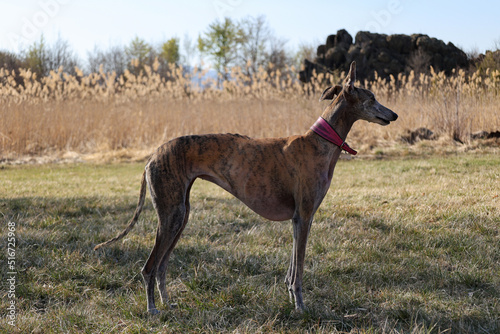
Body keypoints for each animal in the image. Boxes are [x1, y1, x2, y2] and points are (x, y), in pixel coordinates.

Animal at [94, 62, 398, 314]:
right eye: (372, 98)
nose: (394, 115)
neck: (320, 142)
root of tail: (152, 157)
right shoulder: (305, 216)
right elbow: (299, 270)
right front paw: (301, 308)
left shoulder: (298, 219)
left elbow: (291, 269)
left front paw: (291, 300)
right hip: (171, 216)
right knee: (149, 267)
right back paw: (153, 310)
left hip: (180, 215)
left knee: (161, 266)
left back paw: (167, 304)